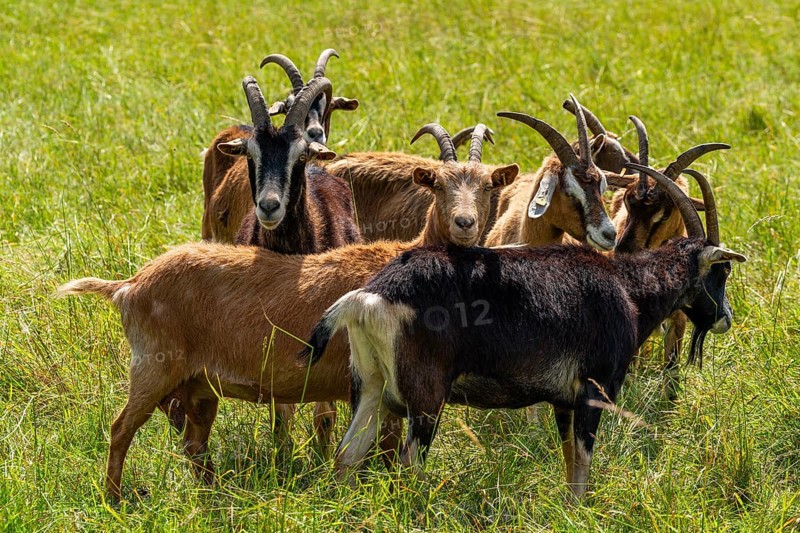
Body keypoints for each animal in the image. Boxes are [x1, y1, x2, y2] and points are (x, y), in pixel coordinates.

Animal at [56, 125, 519, 501]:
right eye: (437, 185)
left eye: (487, 187)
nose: (465, 223)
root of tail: (129, 286)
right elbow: (387, 451)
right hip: (154, 367)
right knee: (121, 429)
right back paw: (114, 500)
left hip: (199, 384)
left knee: (194, 445)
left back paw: (213, 496)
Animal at [304, 165, 745, 499]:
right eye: (722, 269)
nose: (725, 317)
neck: (627, 288)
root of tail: (367, 297)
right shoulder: (595, 390)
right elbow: (583, 464)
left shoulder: (564, 401)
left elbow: (570, 463)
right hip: (425, 399)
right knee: (409, 466)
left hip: (370, 388)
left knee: (346, 457)